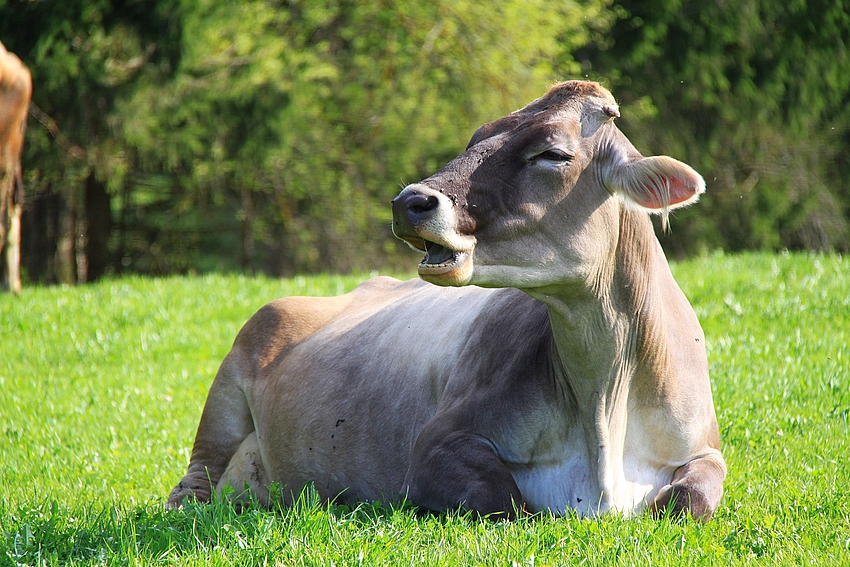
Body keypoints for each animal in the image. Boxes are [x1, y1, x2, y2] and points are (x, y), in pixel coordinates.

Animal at [169, 81, 724, 524]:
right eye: (476, 136)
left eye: (552, 153)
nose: (409, 201)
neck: (606, 400)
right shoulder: (436, 443)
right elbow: (509, 501)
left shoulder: (706, 447)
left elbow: (690, 499)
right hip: (235, 372)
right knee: (197, 478)